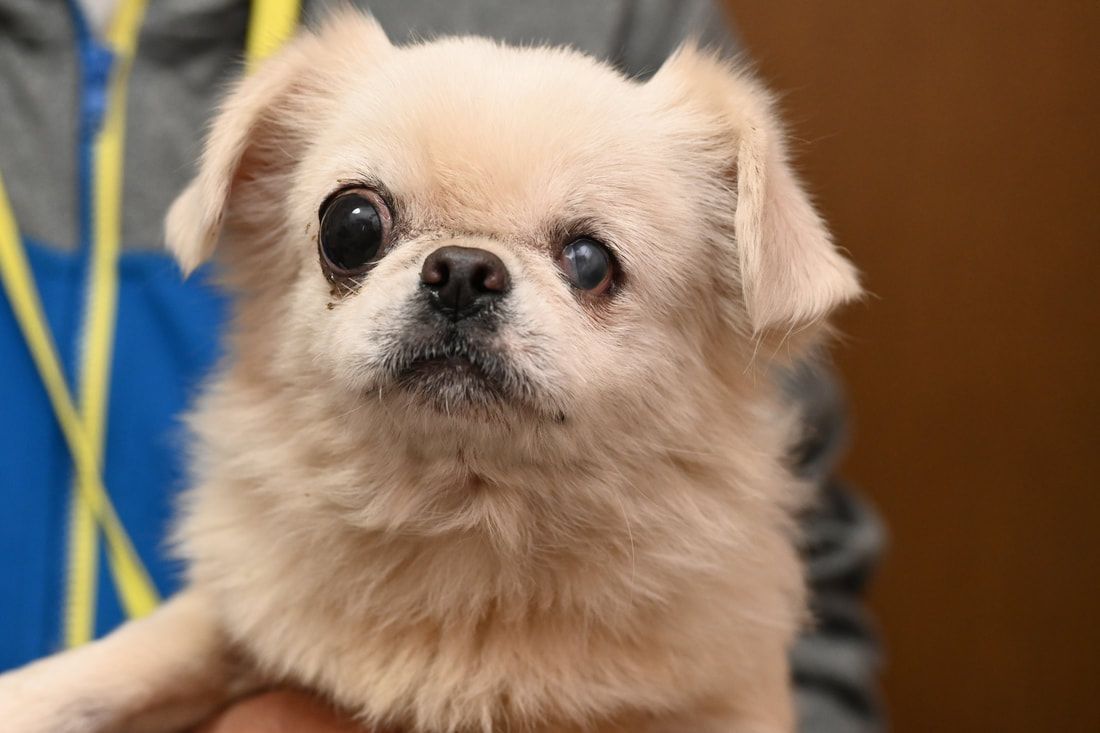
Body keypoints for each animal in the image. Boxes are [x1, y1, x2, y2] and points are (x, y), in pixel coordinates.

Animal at [0, 11, 858, 730]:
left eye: (590, 262)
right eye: (350, 225)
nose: (463, 269)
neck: (462, 512)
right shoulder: (245, 614)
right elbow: (160, 646)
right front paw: (40, 693)